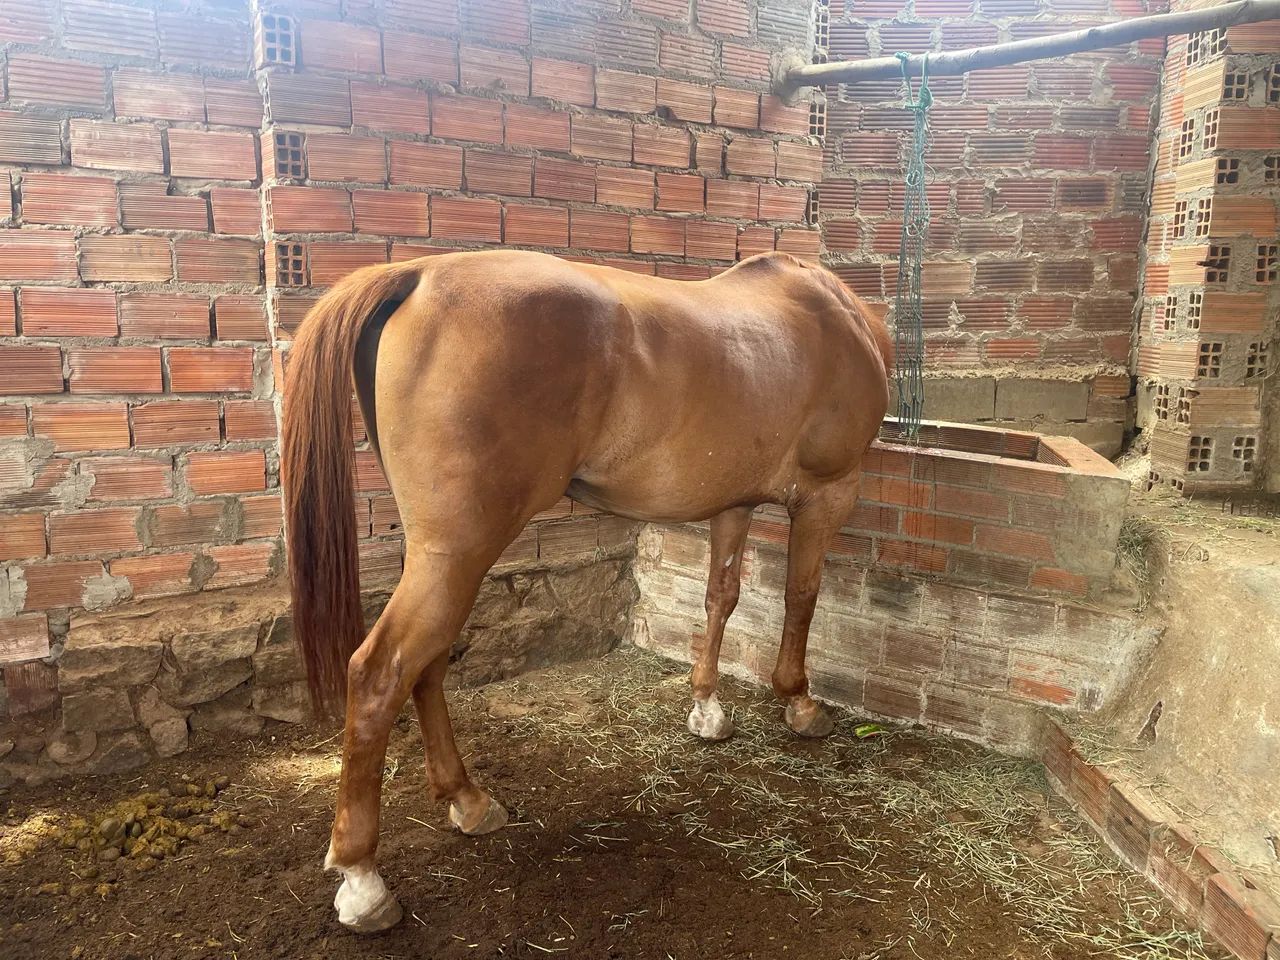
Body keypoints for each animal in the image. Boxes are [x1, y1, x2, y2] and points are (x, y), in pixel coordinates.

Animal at [280, 248, 892, 932]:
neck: (834, 318)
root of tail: (415, 275)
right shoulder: (828, 494)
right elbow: (802, 595)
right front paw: (800, 702)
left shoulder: (732, 503)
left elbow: (722, 596)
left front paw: (708, 708)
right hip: (459, 553)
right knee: (380, 672)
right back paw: (363, 880)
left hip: (440, 557)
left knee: (428, 664)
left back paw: (468, 800)